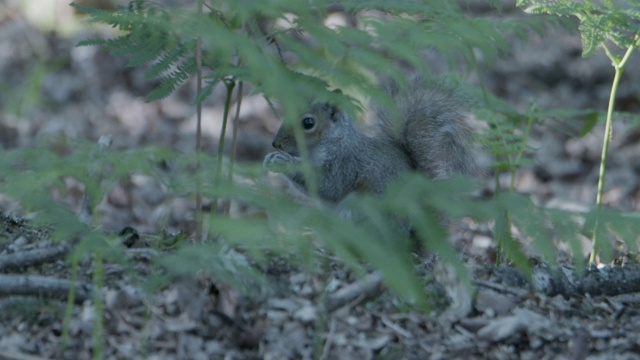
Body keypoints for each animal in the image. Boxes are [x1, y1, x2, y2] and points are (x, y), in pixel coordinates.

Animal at [262, 75, 480, 202]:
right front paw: (270, 158)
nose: (276, 144)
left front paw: (283, 162)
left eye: (308, 123)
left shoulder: (346, 164)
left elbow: (327, 186)